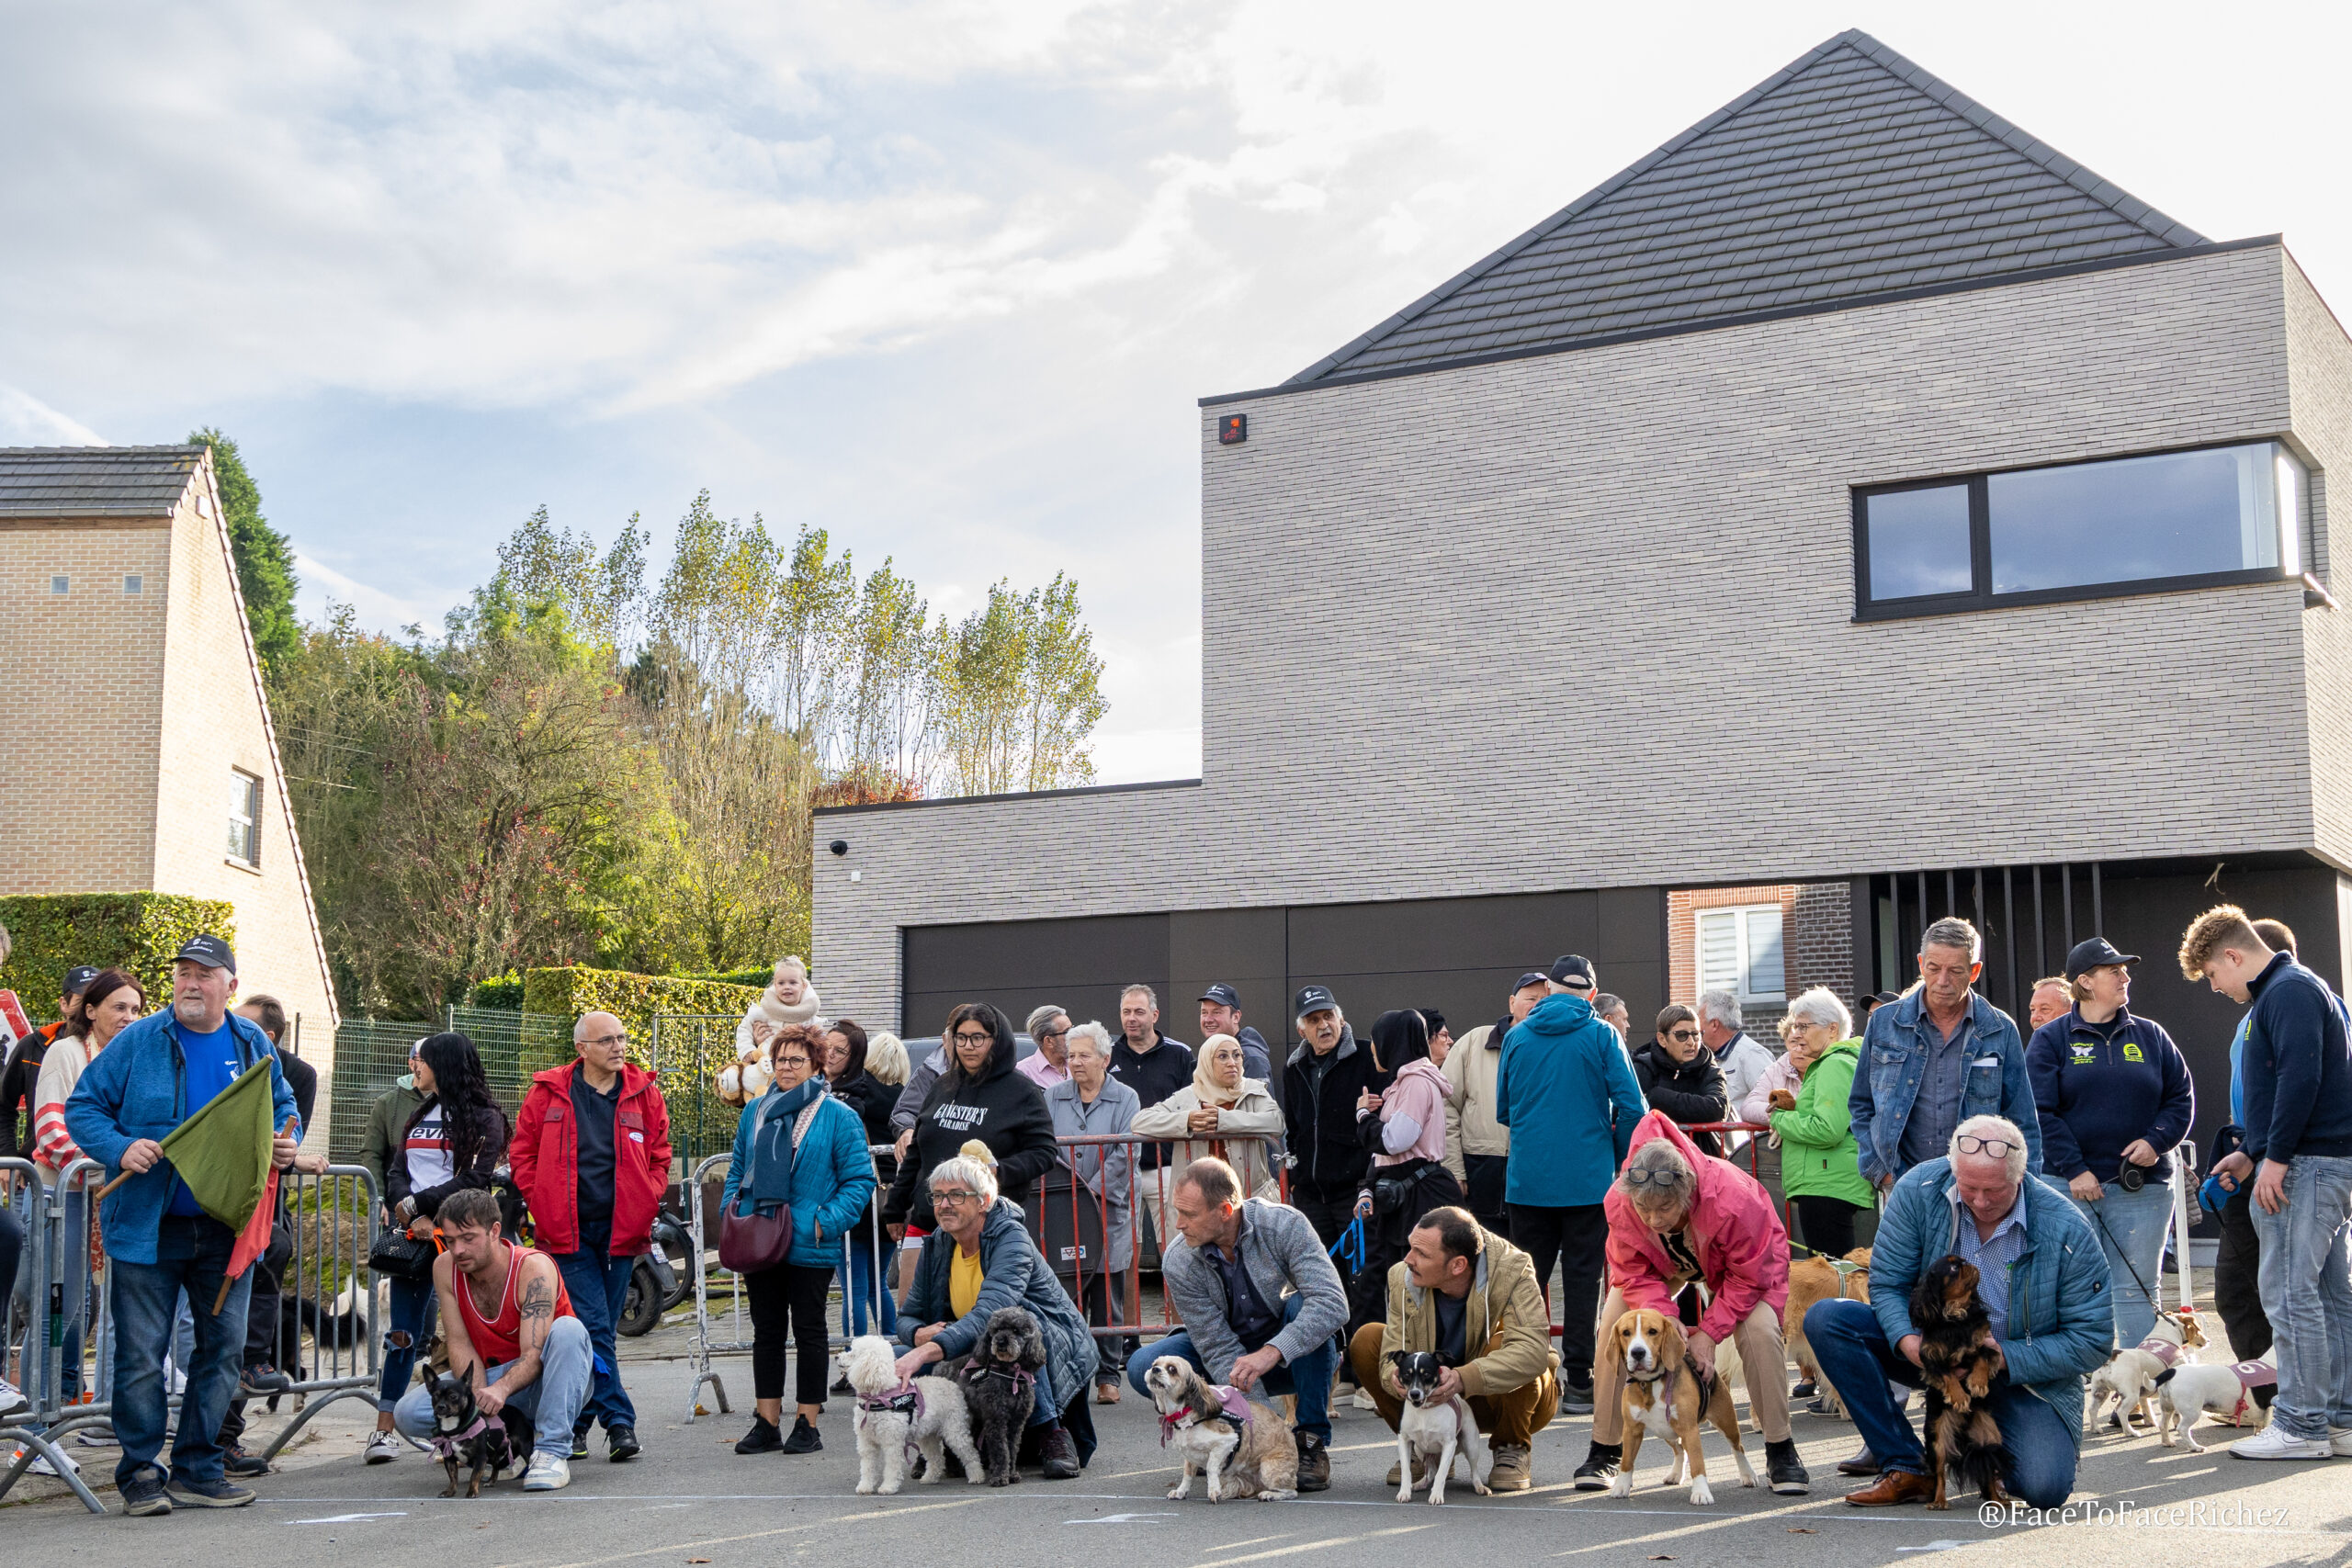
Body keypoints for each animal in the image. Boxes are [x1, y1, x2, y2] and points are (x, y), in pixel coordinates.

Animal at [837, 1335, 983, 1495]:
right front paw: (865, 1486)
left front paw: (888, 1487)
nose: (837, 1356)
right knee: (936, 1458)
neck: (878, 1397)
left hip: (955, 1430)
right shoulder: (866, 1441)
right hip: (928, 1435)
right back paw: (930, 1478)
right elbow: (867, 1467)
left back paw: (977, 1476)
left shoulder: (893, 1442)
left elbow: (892, 1467)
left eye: (853, 1354)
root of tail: (953, 1384)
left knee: (970, 1453)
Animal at [1599, 1306, 1749, 1504]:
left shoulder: (1689, 1430)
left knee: (1738, 1448)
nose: (1637, 1352)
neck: (1650, 1383)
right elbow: (1626, 1461)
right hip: (1666, 1431)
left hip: (1726, 1422)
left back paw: (1748, 1475)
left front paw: (1701, 1492)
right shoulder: (1631, 1430)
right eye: (1626, 1333)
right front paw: (1621, 1486)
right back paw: (1675, 1474)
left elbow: (1698, 1464)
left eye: (1652, 1331)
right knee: (1680, 1450)